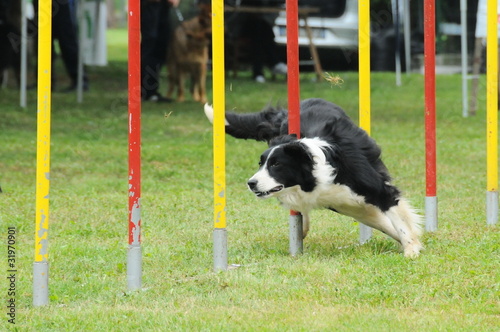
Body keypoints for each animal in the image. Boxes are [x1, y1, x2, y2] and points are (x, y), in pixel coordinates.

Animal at [203, 97, 422, 258]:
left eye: (276, 164)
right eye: (261, 163)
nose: (251, 183)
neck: (316, 175)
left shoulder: (376, 191)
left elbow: (398, 220)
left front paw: (411, 248)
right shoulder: (344, 203)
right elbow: (385, 223)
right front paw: (412, 244)